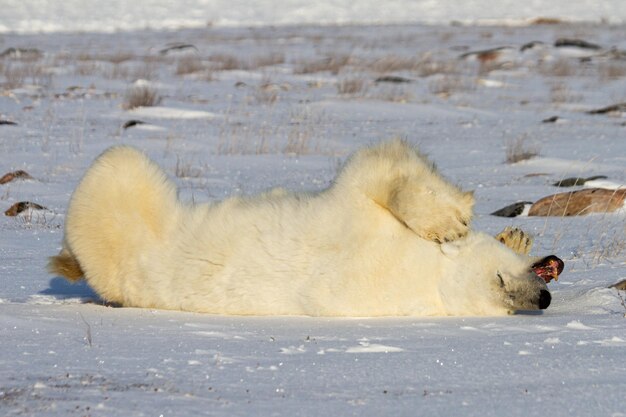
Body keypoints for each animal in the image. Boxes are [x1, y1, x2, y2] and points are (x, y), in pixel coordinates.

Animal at [48, 140, 560, 316]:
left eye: (508, 308)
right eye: (500, 280)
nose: (542, 298)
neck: (424, 279)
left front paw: (514, 233)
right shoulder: (357, 226)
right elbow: (376, 169)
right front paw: (451, 223)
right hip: (120, 218)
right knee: (118, 164)